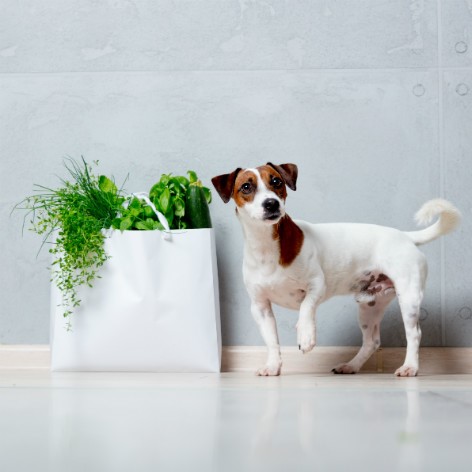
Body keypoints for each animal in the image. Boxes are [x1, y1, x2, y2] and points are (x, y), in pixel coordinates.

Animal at [211, 164, 460, 378]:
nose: (271, 204)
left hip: (408, 298)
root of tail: (405, 236)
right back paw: (351, 366)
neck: (266, 246)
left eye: (276, 182)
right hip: (370, 306)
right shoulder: (260, 306)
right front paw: (273, 366)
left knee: (414, 334)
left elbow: (306, 308)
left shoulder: (317, 286)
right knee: (371, 342)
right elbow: (272, 340)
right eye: (246, 187)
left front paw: (306, 335)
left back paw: (410, 367)